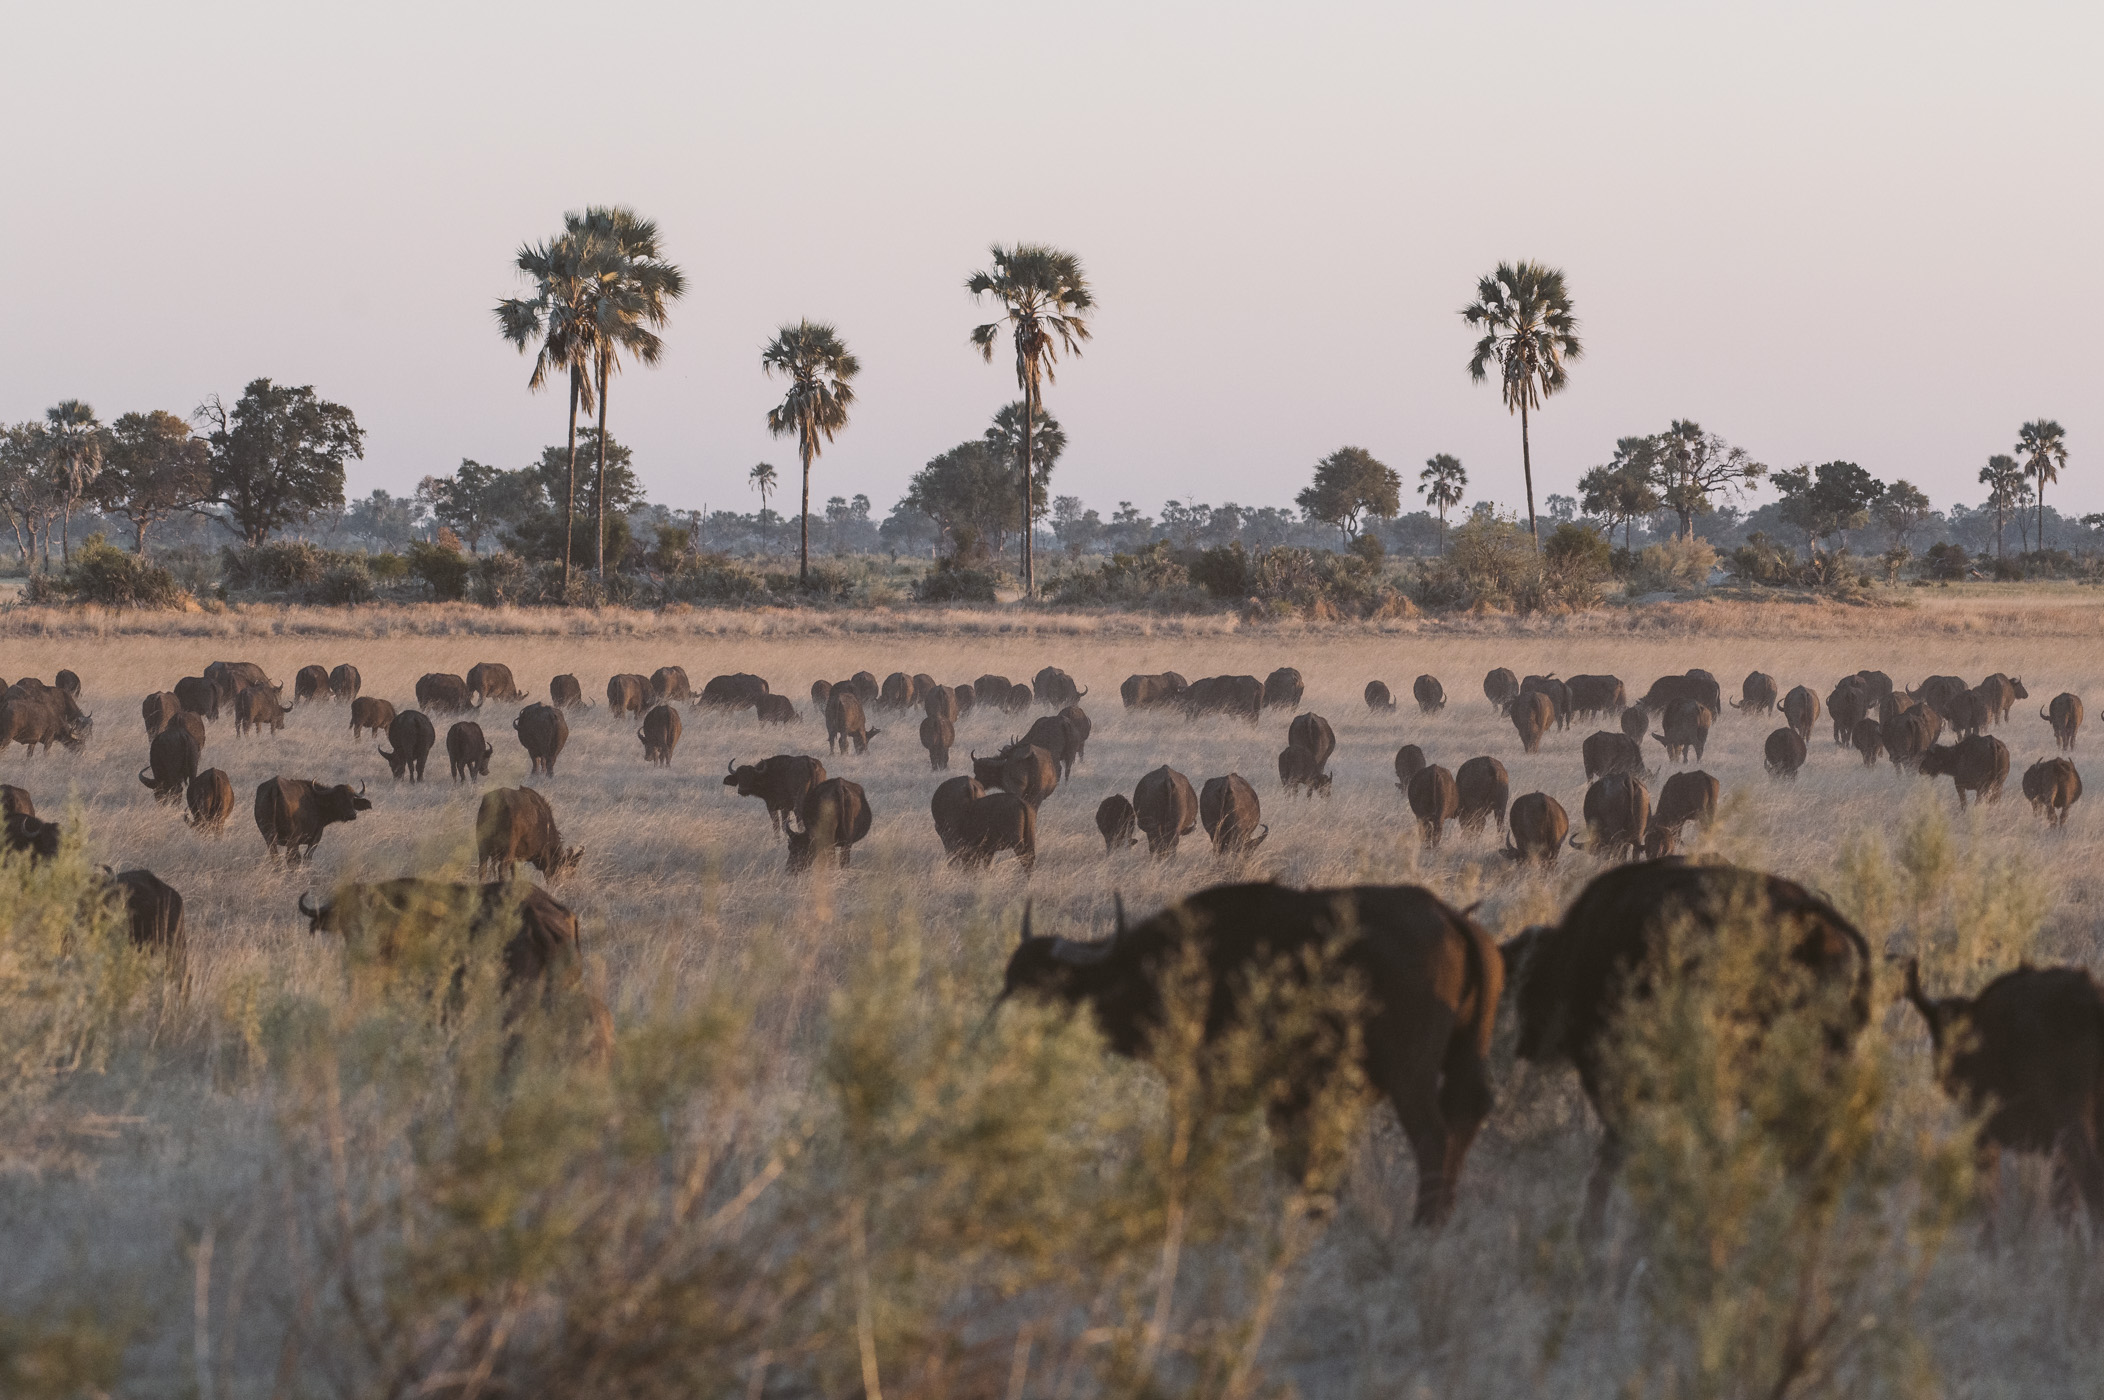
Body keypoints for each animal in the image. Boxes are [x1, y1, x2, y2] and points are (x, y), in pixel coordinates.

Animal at [997, 884, 1498, 1221]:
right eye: (1014, 979)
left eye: (1046, 982)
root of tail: (1449, 918)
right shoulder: (1289, 1097)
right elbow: (1298, 1157)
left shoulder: (1199, 1087)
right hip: (1463, 1061)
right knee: (1464, 1120)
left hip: (1410, 1075)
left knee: (1433, 1134)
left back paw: (1425, 1221)